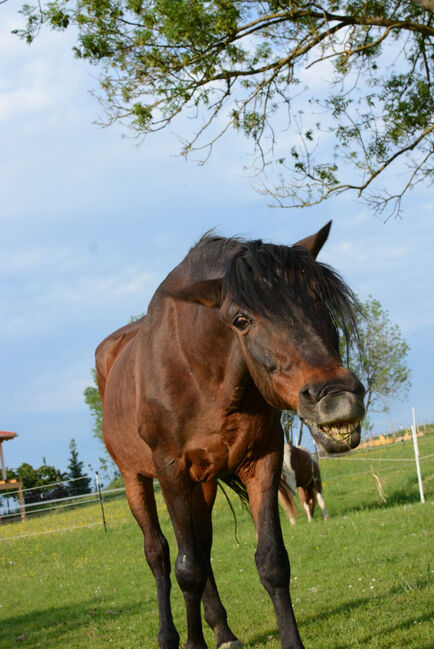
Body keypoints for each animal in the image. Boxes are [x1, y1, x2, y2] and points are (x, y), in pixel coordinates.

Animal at [96, 224, 364, 648]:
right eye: (241, 319)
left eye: (318, 298)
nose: (336, 397)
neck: (201, 372)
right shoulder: (172, 472)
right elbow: (185, 568)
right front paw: (192, 644)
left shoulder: (263, 460)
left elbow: (271, 561)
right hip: (135, 478)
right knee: (159, 554)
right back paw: (168, 636)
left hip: (203, 483)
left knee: (201, 547)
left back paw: (223, 630)